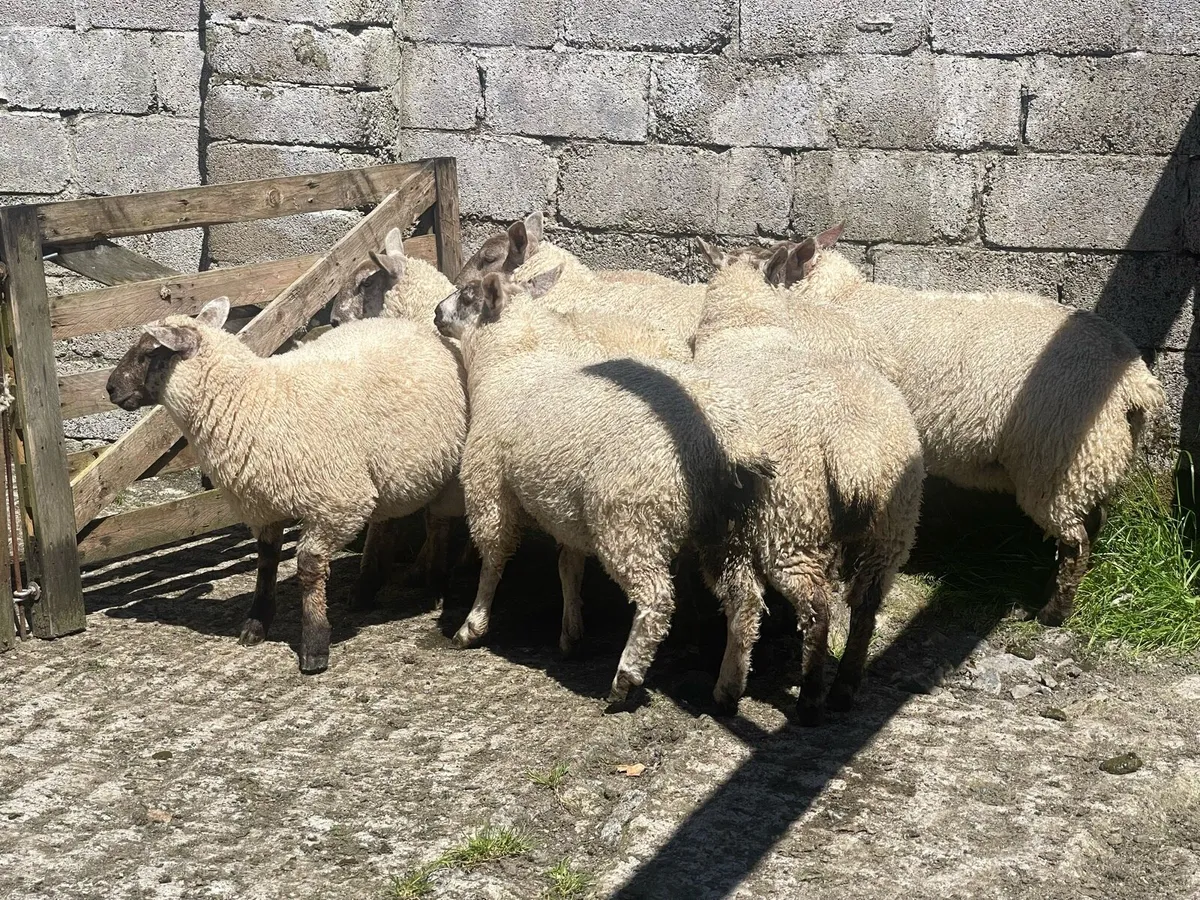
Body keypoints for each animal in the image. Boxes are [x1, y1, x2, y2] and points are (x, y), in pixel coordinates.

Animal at [105, 297, 467, 674]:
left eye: (149, 352)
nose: (110, 388)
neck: (251, 400)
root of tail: (416, 327)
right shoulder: (264, 505)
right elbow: (266, 562)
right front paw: (256, 624)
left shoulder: (337, 503)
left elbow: (308, 567)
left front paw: (315, 644)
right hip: (393, 471)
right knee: (387, 522)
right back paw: (366, 589)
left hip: (444, 470)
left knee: (438, 522)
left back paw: (433, 585)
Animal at [434, 270, 775, 702]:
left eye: (467, 295)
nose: (435, 312)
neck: (511, 363)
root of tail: (727, 441)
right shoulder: (564, 507)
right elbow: (568, 566)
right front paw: (571, 633)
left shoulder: (488, 486)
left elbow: (493, 561)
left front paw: (471, 626)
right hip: (728, 530)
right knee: (745, 600)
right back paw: (729, 685)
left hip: (629, 518)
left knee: (657, 598)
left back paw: (626, 677)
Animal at [693, 248, 924, 721]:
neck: (747, 325)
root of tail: (857, 454)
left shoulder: (734, 529)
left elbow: (744, 604)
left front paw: (730, 686)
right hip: (891, 530)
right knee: (865, 608)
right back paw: (844, 689)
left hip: (790, 524)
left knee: (810, 609)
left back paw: (805, 698)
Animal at [771, 224, 1166, 626]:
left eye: (771, 261)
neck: (838, 298)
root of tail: (1135, 381)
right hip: (1094, 462)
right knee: (1093, 524)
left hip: (1057, 466)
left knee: (1075, 543)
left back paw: (1051, 613)